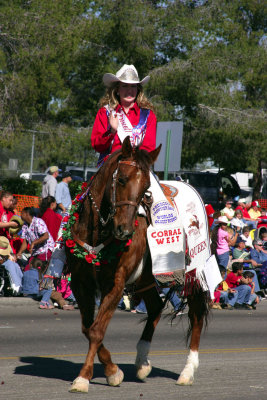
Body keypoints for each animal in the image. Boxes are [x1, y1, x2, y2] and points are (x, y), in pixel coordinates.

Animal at [66, 136, 209, 392]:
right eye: (121, 179)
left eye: (146, 189)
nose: (124, 230)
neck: (97, 233)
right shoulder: (80, 283)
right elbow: (87, 328)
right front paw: (112, 371)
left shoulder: (115, 283)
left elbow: (96, 330)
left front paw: (84, 377)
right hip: (146, 277)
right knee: (155, 307)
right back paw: (142, 362)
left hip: (193, 272)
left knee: (196, 316)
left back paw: (187, 371)